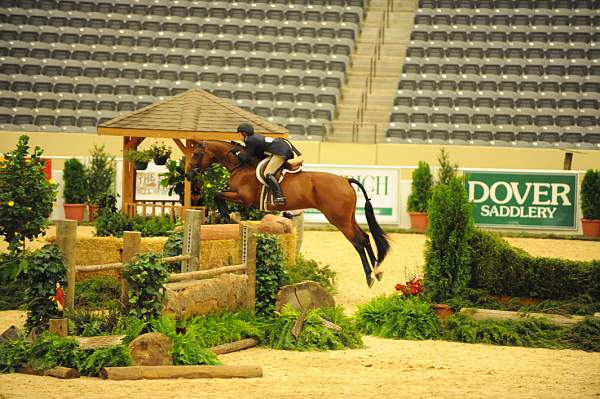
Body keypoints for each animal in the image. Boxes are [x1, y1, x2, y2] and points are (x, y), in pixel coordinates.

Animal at [186, 141, 390, 288]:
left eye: (196, 154)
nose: (188, 175)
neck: (240, 166)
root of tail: (345, 180)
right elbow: (219, 195)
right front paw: (231, 216)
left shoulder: (244, 198)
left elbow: (217, 194)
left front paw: (226, 215)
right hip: (348, 218)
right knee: (365, 237)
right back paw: (378, 271)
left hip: (339, 220)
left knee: (358, 242)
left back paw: (370, 277)